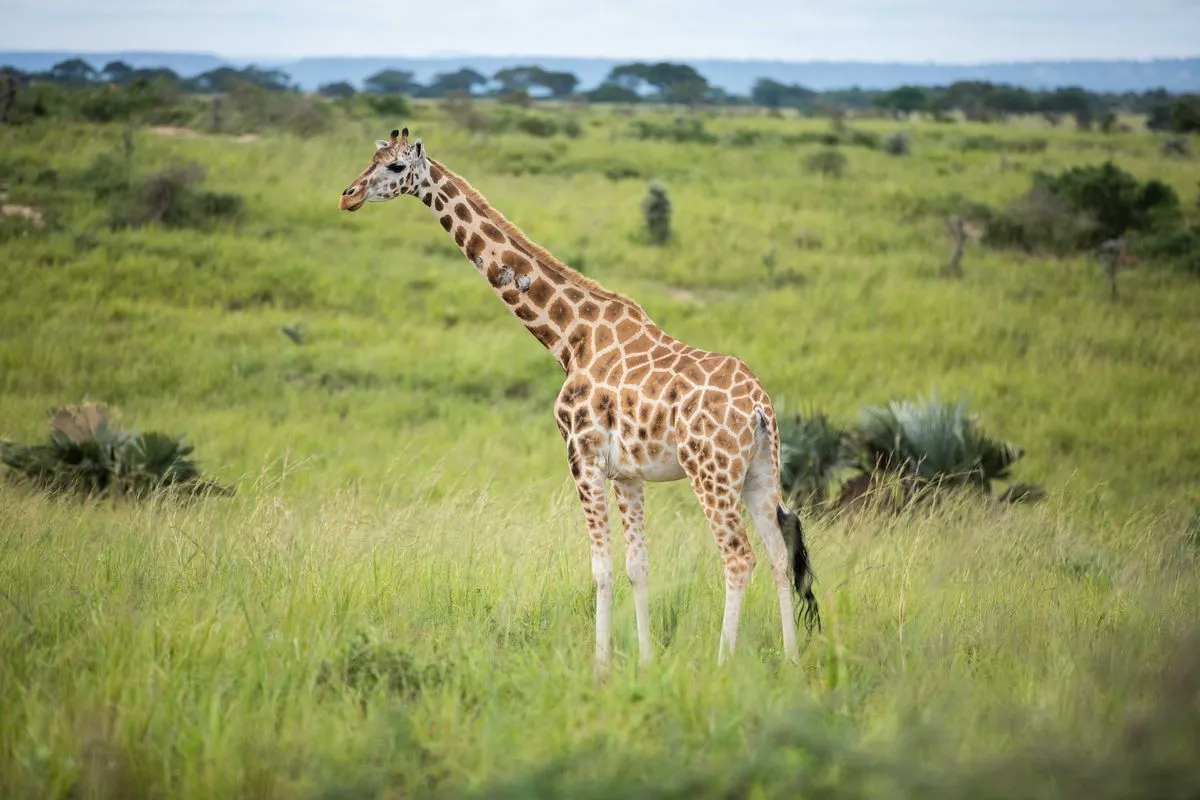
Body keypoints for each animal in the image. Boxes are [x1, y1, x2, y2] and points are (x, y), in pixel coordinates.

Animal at [339, 128, 820, 668]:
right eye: (372, 158)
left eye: (397, 167)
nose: (348, 196)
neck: (570, 337)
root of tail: (759, 407)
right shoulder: (628, 472)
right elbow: (637, 565)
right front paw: (645, 662)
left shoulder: (581, 456)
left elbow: (601, 568)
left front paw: (600, 665)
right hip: (760, 471)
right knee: (779, 554)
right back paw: (791, 659)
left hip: (711, 472)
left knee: (738, 557)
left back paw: (722, 663)